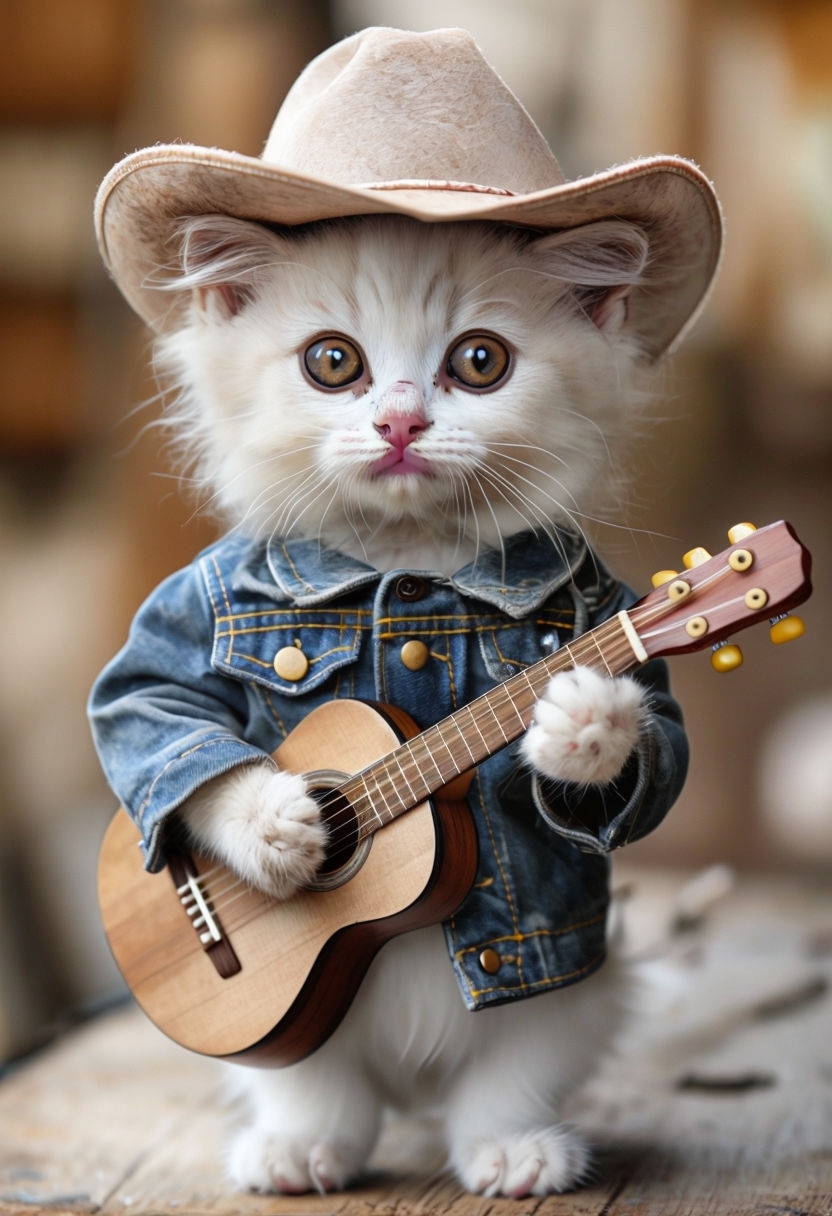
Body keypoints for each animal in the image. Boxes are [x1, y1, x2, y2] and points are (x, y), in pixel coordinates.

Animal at [158, 214, 651, 1191]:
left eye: (480, 360)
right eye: (333, 362)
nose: (399, 421)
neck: (405, 557)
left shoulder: (608, 604)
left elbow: (656, 761)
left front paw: (584, 729)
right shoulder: (178, 624)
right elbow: (158, 719)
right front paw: (273, 827)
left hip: (565, 998)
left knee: (504, 1078)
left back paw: (514, 1155)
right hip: (288, 1042)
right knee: (321, 1091)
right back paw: (296, 1154)